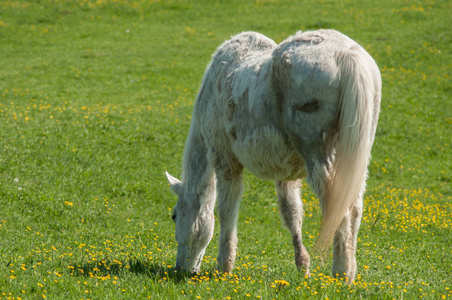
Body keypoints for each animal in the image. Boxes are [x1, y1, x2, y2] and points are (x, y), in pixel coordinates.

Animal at [164, 28, 380, 284]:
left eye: (174, 215)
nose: (181, 269)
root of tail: (346, 54)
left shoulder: (226, 162)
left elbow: (227, 211)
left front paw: (224, 266)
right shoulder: (286, 174)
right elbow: (292, 213)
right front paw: (303, 267)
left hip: (321, 158)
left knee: (340, 210)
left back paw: (341, 273)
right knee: (355, 208)